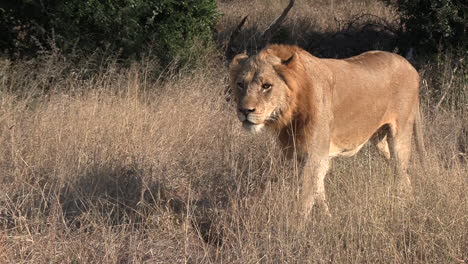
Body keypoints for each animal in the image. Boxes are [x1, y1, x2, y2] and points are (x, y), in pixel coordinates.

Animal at [229, 44, 426, 219]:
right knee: (401, 172)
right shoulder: (295, 154)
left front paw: (297, 229)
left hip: (400, 136)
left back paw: (405, 207)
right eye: (240, 84)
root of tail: (411, 67)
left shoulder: (316, 155)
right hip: (380, 140)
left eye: (266, 86)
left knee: (401, 170)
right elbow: (318, 191)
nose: (244, 111)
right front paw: (327, 219)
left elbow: (305, 199)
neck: (289, 113)